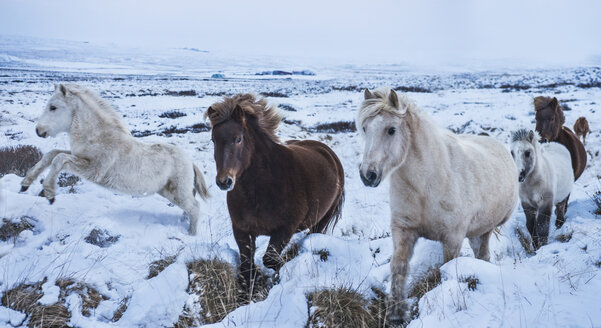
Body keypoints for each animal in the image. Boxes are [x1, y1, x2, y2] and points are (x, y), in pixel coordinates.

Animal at [20, 83, 209, 234]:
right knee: (191, 207)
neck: (98, 136)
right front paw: (25, 184)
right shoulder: (78, 156)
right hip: (170, 193)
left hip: (177, 193)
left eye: (53, 107)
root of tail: (191, 162)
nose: (39, 130)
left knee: (195, 208)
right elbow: (51, 155)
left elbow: (59, 159)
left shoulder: (94, 170)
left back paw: (190, 235)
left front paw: (50, 194)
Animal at [205, 93, 342, 290]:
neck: (261, 190)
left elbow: (270, 260)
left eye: (238, 139)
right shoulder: (241, 230)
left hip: (321, 220)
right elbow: (247, 267)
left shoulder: (285, 229)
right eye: (213, 140)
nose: (224, 181)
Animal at [356, 87, 516, 326]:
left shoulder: (452, 238)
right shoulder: (403, 230)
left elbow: (444, 270)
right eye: (365, 128)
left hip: (484, 230)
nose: (368, 175)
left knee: (483, 254)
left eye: (391, 130)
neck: (426, 184)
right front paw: (395, 314)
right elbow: (398, 267)